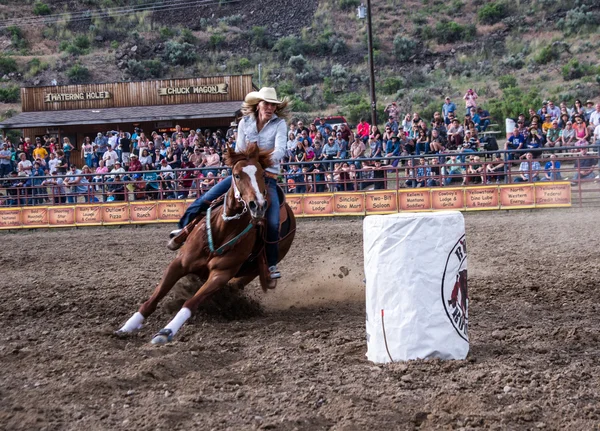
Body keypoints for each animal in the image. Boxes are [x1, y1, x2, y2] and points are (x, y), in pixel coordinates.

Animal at [116, 144, 296, 344]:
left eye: (262, 175)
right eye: (236, 175)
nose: (258, 205)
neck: (223, 230)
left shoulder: (221, 275)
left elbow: (191, 303)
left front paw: (166, 332)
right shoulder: (179, 264)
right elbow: (155, 297)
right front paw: (127, 326)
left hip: (255, 269)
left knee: (239, 283)